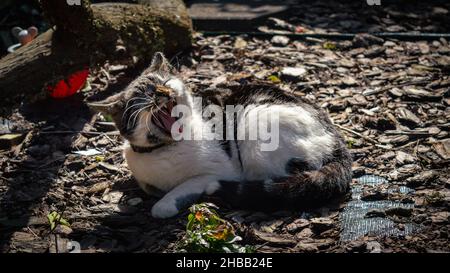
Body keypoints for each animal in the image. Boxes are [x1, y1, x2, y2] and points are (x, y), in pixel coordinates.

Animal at [89, 52, 354, 218]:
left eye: (164, 81)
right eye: (143, 94)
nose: (162, 92)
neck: (167, 149)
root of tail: (337, 140)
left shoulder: (220, 170)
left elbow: (183, 188)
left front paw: (166, 203)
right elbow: (147, 186)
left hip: (254, 127)